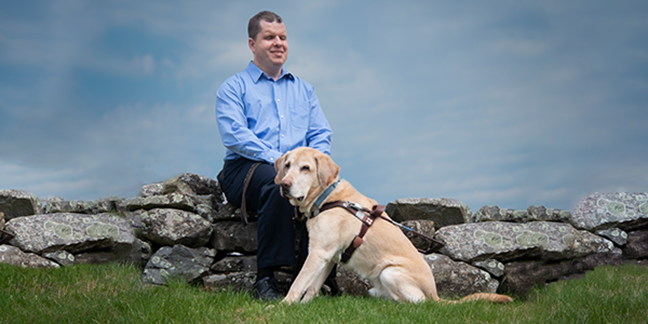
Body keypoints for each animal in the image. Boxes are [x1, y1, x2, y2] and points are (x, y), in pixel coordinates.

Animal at [274, 148, 512, 306]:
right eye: (287, 165)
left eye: (306, 168)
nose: (284, 184)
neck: (328, 196)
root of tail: (436, 295)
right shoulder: (328, 256)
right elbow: (312, 287)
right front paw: (303, 306)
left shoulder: (317, 253)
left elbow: (298, 283)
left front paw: (283, 306)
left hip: (390, 272)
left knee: (417, 303)